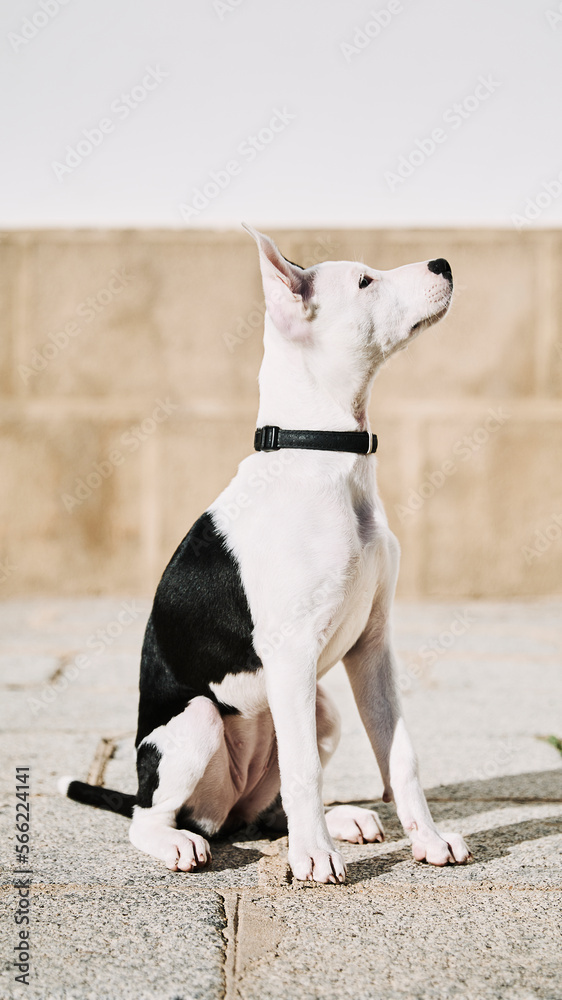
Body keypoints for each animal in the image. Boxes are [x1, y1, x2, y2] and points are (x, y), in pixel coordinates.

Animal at [59, 227, 468, 884]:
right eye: (365, 281)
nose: (444, 262)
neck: (325, 453)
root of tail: (223, 815)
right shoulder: (293, 648)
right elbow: (306, 769)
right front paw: (314, 859)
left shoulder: (373, 646)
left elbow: (399, 755)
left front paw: (427, 840)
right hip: (197, 723)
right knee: (150, 818)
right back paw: (182, 843)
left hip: (320, 709)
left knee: (268, 811)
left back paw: (341, 820)